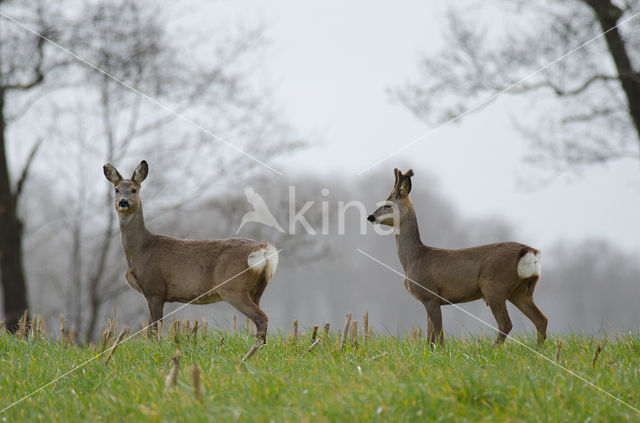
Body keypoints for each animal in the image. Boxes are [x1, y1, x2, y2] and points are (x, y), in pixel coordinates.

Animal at [102, 161, 278, 342]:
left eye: (134, 189)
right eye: (116, 189)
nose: (123, 202)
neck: (140, 250)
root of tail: (263, 250)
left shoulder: (154, 289)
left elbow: (154, 330)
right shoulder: (153, 293)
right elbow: (150, 329)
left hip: (233, 287)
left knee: (261, 318)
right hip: (257, 289)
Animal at [368, 169, 548, 348]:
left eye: (387, 205)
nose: (370, 216)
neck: (413, 259)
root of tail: (528, 251)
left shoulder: (430, 295)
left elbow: (439, 336)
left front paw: (441, 352)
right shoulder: (428, 299)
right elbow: (429, 338)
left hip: (494, 285)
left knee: (506, 323)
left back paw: (494, 350)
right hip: (522, 290)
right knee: (541, 319)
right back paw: (538, 350)